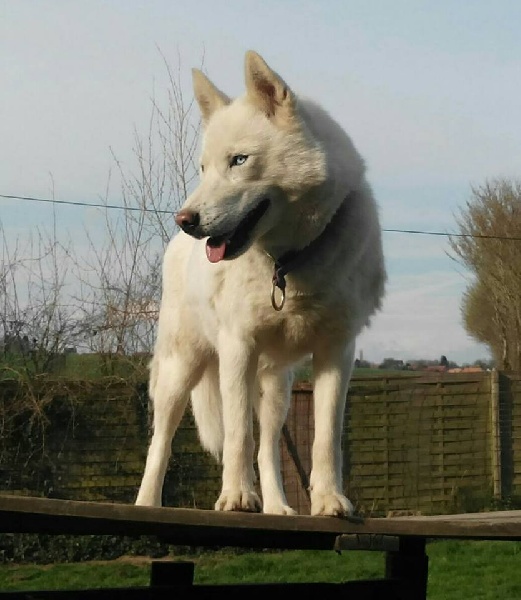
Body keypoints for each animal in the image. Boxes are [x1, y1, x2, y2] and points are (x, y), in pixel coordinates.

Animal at [136, 49, 384, 516]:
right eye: (204, 168)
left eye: (239, 160)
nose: (185, 219)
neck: (287, 264)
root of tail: (174, 246)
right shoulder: (238, 348)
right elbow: (237, 435)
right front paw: (235, 497)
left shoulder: (337, 352)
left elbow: (325, 438)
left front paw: (330, 500)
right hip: (181, 372)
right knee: (161, 442)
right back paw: (147, 504)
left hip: (275, 392)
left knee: (269, 447)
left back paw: (278, 508)